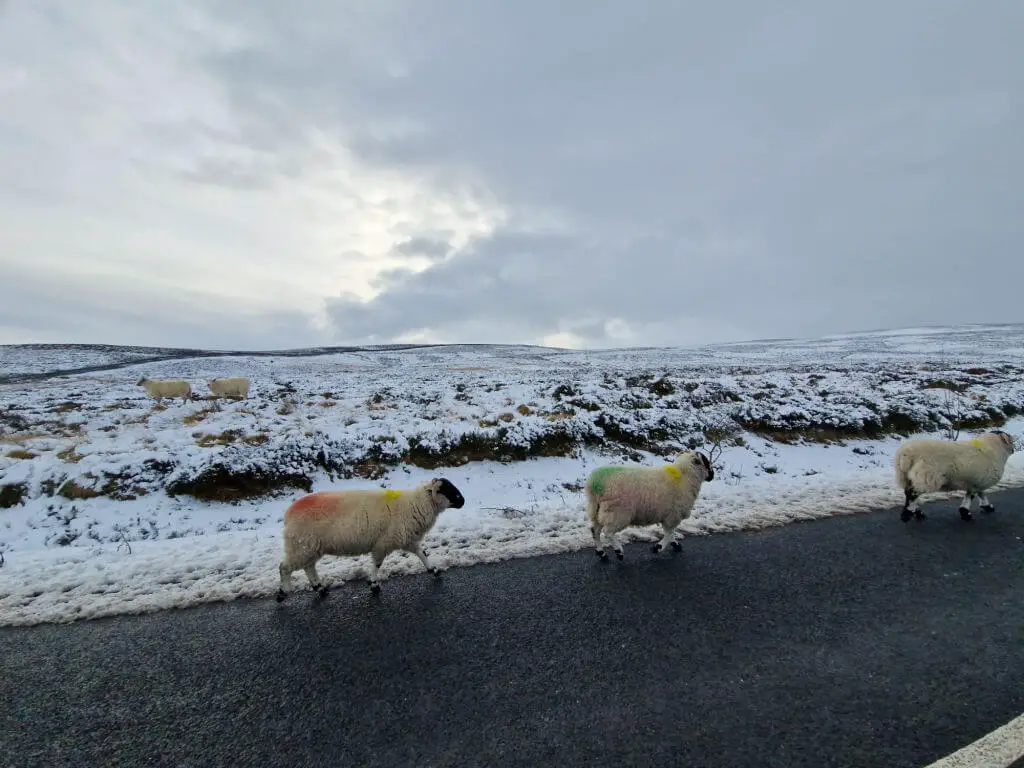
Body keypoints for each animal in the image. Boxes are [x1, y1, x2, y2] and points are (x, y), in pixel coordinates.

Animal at [276, 477, 466, 601]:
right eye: (451, 491)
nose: (463, 501)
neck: (415, 504)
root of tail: (288, 514)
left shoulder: (408, 539)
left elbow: (422, 554)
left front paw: (434, 570)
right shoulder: (384, 542)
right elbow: (377, 563)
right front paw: (373, 584)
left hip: (310, 546)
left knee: (308, 567)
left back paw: (320, 588)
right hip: (302, 545)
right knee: (285, 567)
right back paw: (283, 592)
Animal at [586, 450, 714, 560]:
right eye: (705, 461)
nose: (712, 474)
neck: (685, 478)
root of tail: (594, 483)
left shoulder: (667, 515)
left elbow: (670, 532)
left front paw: (675, 545)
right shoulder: (673, 515)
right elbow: (670, 533)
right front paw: (658, 547)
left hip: (598, 511)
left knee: (594, 530)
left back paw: (601, 553)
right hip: (617, 512)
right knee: (608, 532)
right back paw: (618, 551)